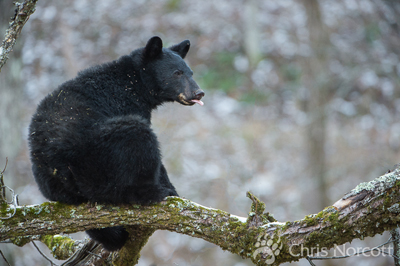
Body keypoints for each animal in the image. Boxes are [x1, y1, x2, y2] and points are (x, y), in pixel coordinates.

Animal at [28, 37, 203, 251]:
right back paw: (151, 192)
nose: (198, 93)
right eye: (177, 73)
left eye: (190, 72)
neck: (134, 83)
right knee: (136, 140)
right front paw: (172, 191)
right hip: (99, 157)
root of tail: (60, 171)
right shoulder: (125, 104)